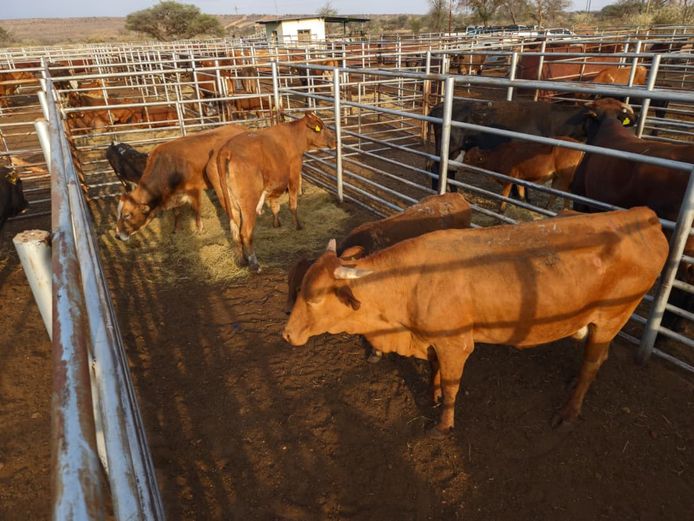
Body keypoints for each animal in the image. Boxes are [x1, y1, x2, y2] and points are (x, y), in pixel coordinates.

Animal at [115, 123, 247, 241]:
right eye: (118, 214)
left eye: (126, 215)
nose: (117, 236)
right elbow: (176, 213)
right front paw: (176, 229)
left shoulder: (194, 190)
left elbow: (196, 209)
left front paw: (199, 228)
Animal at [214, 112, 336, 272]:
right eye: (321, 127)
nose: (335, 141)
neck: (293, 135)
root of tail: (227, 150)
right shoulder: (293, 174)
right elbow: (293, 203)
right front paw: (298, 225)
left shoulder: (274, 184)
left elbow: (274, 204)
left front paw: (276, 223)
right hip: (248, 203)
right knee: (245, 232)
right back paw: (255, 264)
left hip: (229, 203)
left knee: (234, 231)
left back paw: (242, 261)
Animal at [283, 207, 668, 435]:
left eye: (314, 296)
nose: (286, 334)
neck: (411, 282)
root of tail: (645, 216)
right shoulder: (433, 339)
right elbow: (436, 371)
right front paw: (434, 392)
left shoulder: (457, 343)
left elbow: (453, 384)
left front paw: (443, 423)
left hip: (612, 316)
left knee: (593, 362)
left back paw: (569, 410)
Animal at [427, 98, 634, 192]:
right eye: (597, 117)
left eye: (619, 117)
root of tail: (439, 106)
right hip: (450, 148)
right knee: (438, 168)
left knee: (450, 170)